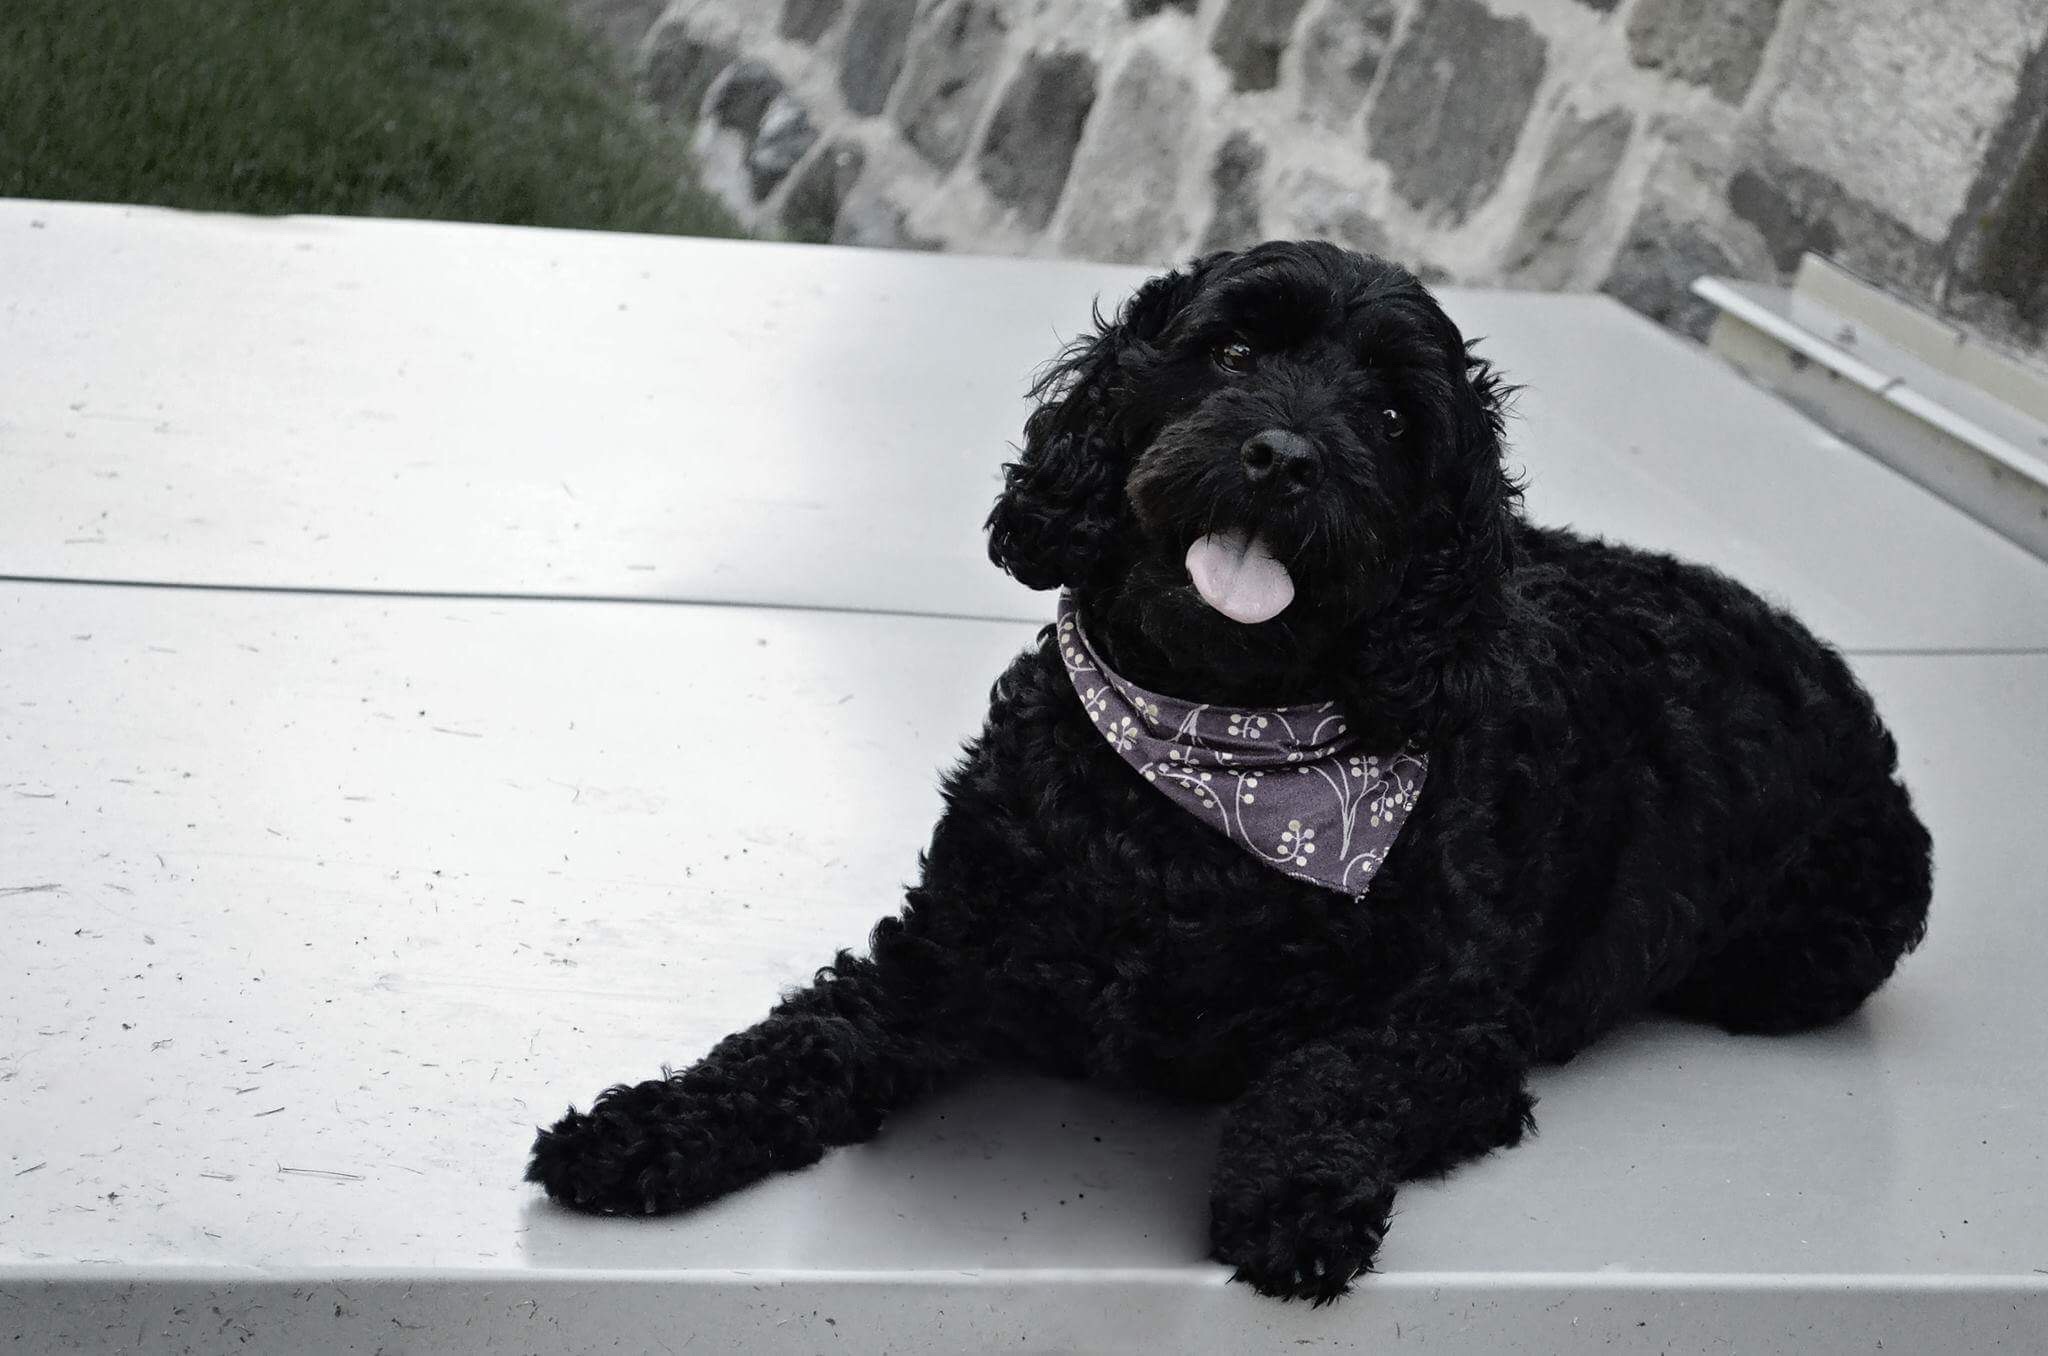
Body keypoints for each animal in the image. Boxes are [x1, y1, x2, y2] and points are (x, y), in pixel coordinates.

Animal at [527, 242, 1933, 1304]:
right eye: (1235, 353)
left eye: (1389, 416)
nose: (1282, 457)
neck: (1206, 773)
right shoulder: (938, 955)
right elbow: (797, 1040)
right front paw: (643, 1126)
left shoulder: (1456, 1031)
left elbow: (1324, 1074)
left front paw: (1291, 1195)